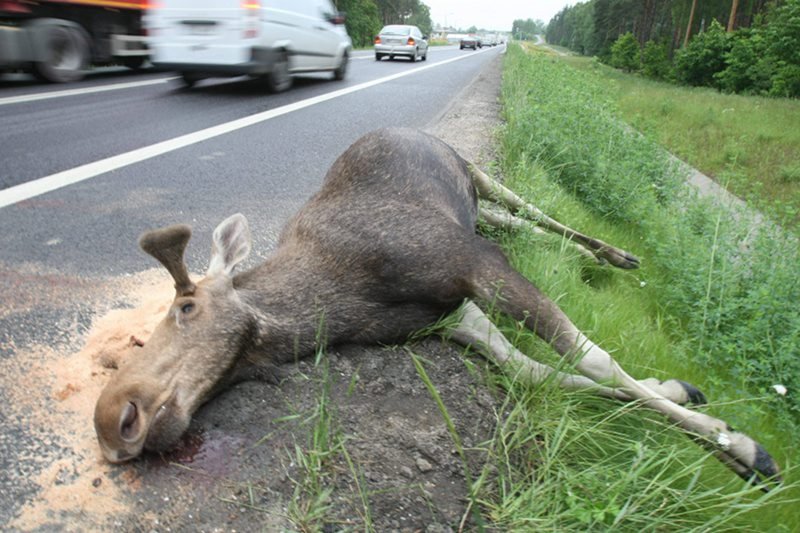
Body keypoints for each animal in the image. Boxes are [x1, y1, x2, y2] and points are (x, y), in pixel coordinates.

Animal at [94, 127, 780, 488]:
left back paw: (616, 254)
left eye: (185, 306)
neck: (333, 304)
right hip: (484, 210)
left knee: (537, 212)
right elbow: (545, 375)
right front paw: (693, 406)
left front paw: (742, 445)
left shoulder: (474, 264)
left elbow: (595, 361)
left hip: (480, 175)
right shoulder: (454, 318)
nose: (111, 421)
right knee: (528, 228)